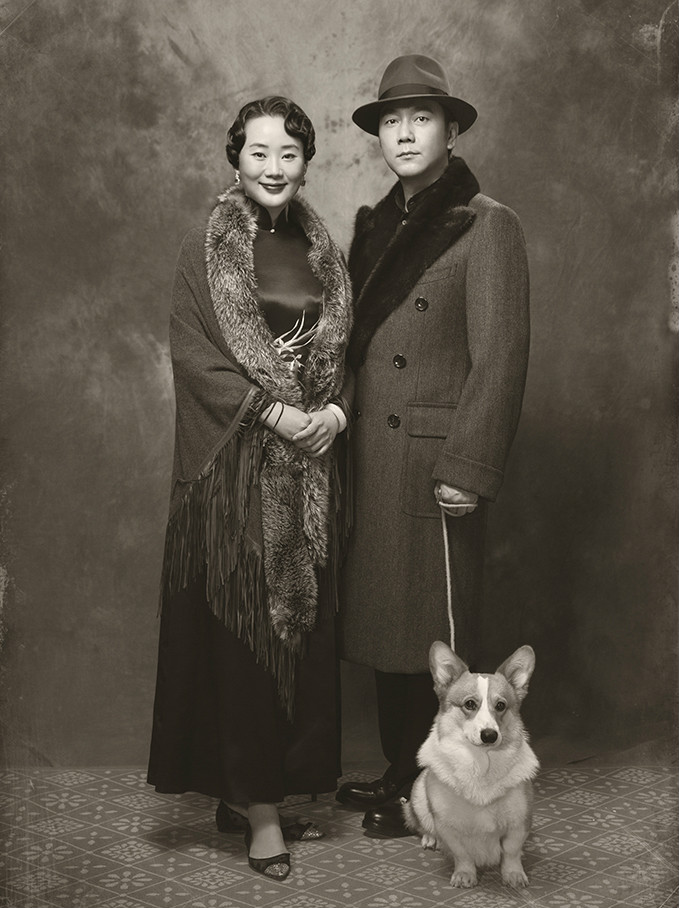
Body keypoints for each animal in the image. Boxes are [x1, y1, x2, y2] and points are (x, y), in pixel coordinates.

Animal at [403, 642, 539, 889]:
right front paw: (464, 874)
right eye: (469, 704)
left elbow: (512, 852)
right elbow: (462, 854)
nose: (489, 735)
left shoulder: (519, 821)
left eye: (501, 705)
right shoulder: (448, 826)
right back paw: (430, 837)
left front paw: (514, 875)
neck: (481, 762)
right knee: (422, 823)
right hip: (418, 793)